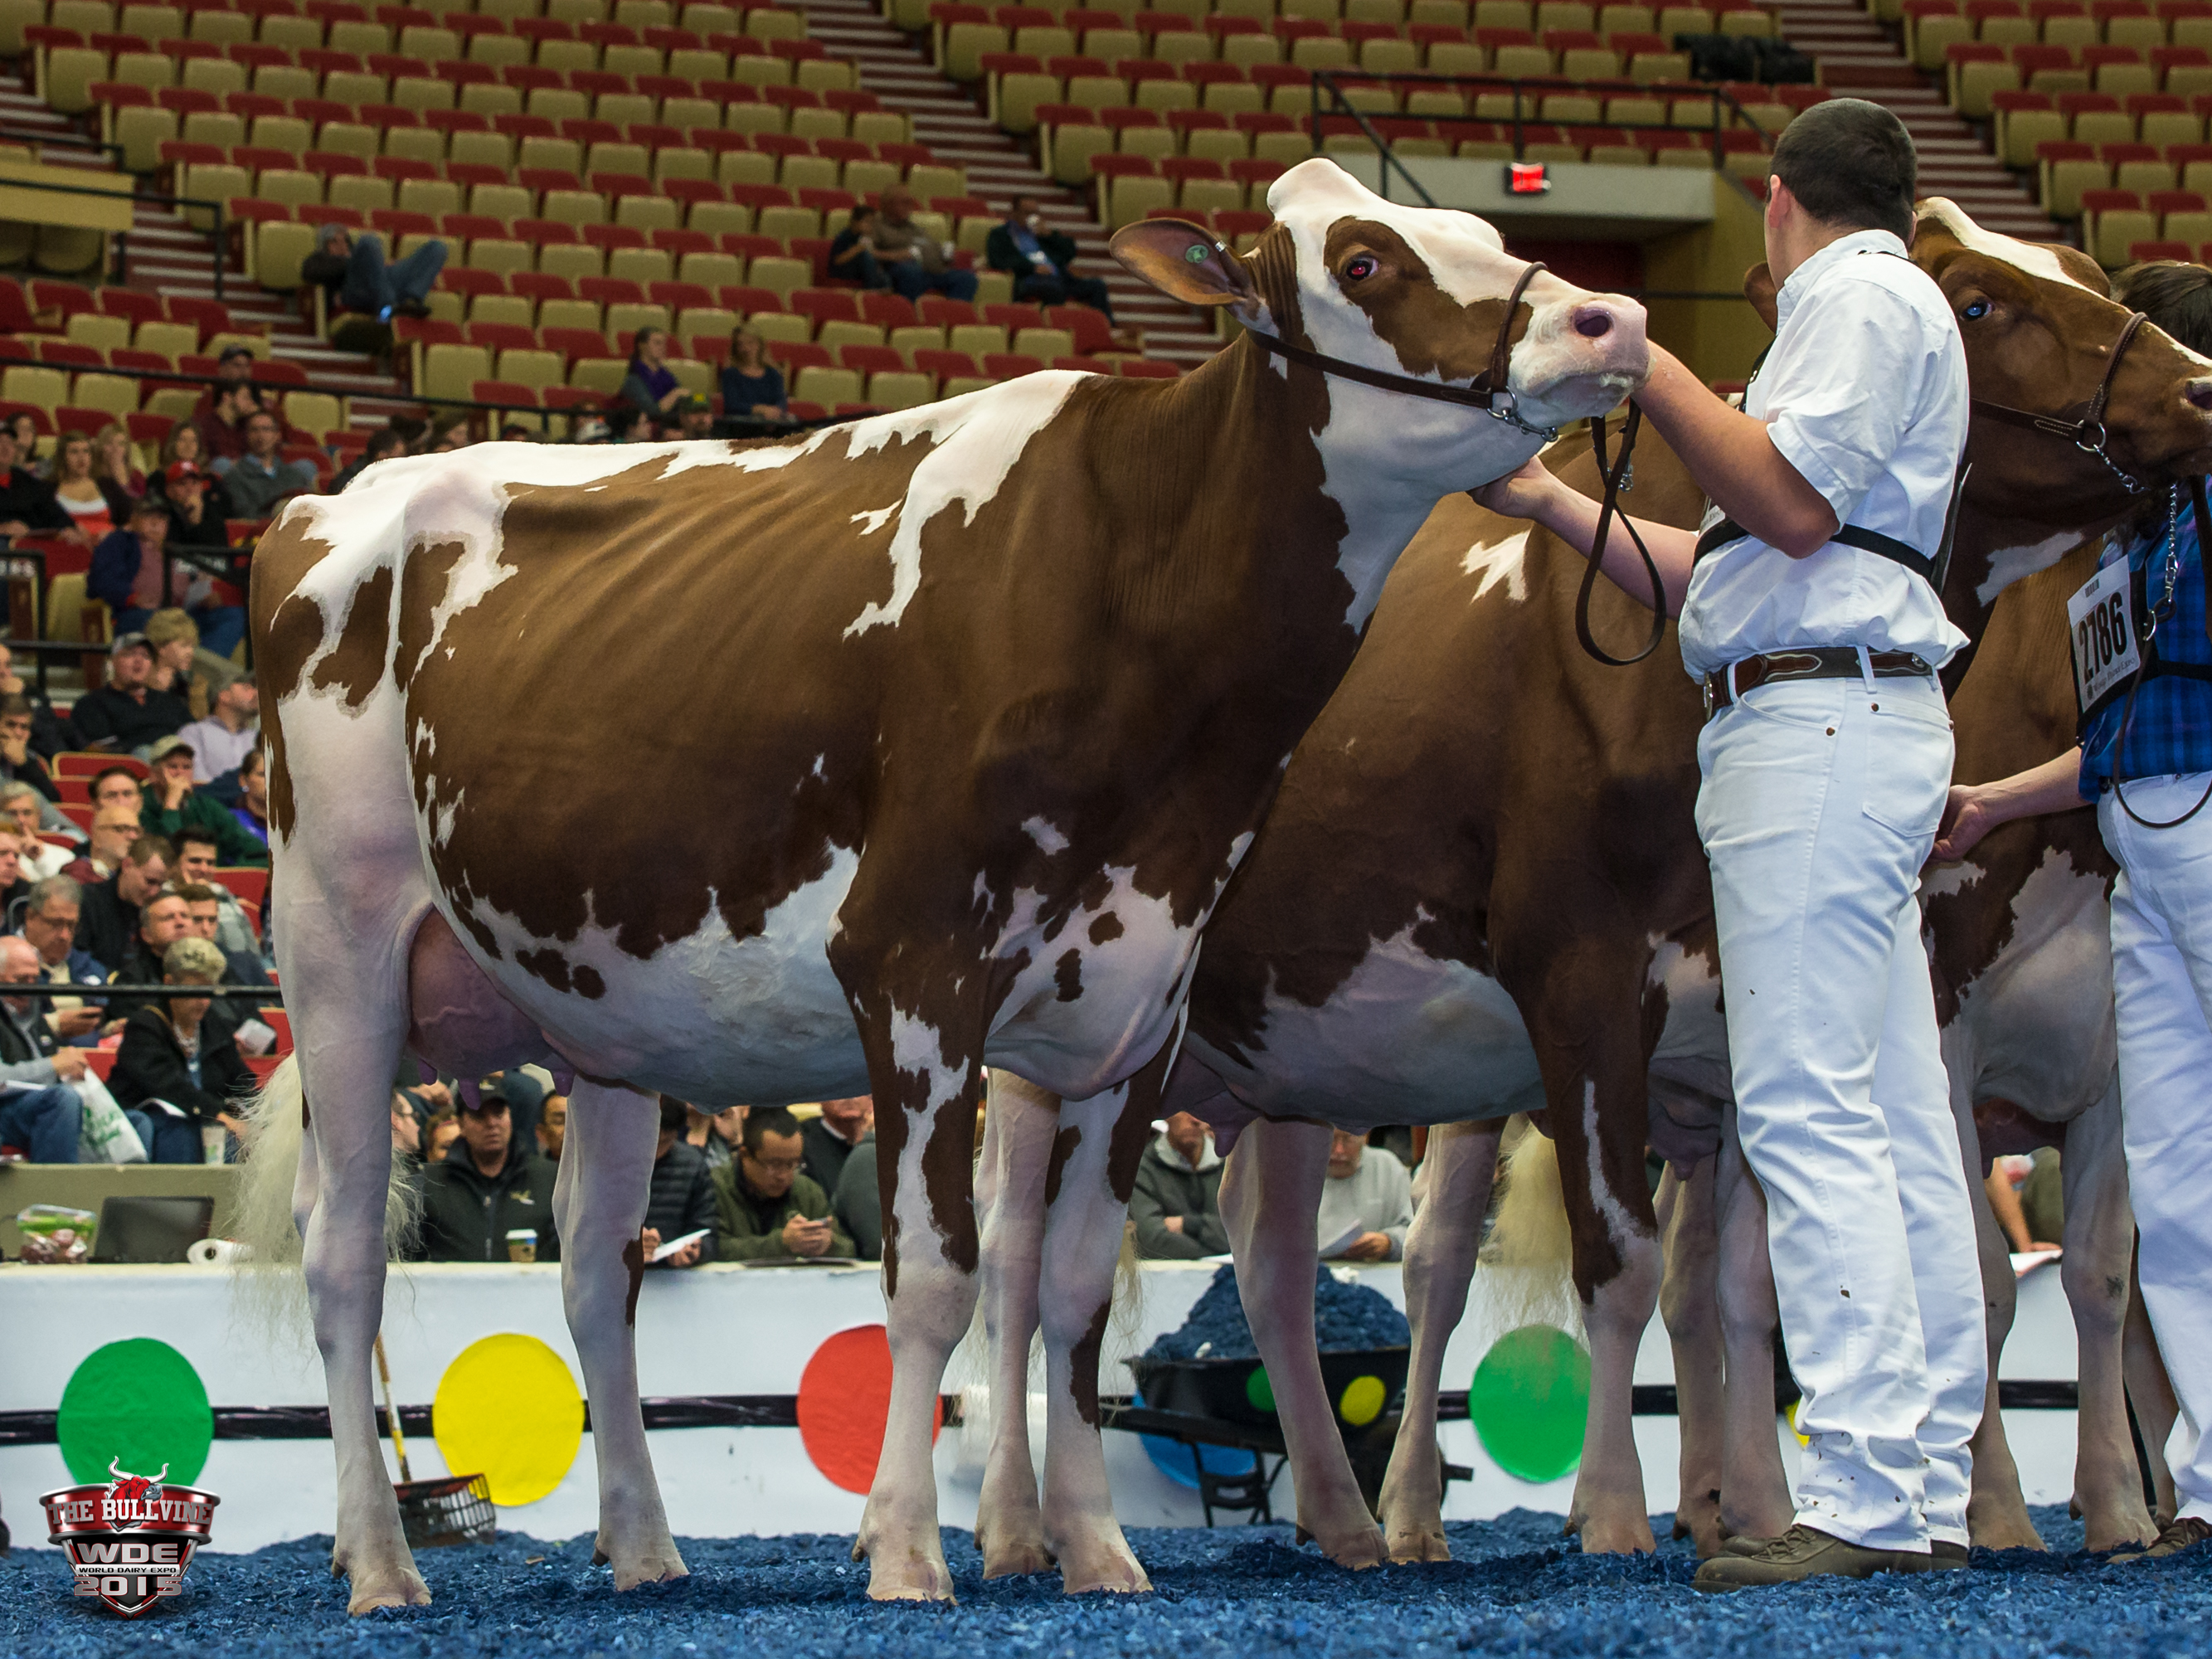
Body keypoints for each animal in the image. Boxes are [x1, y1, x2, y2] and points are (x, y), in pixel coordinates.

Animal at [243, 157, 1651, 1613]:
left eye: (1480, 227)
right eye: (1365, 260)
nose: (1612, 320)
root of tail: (331, 497)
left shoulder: (1138, 1000)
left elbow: (1075, 1289)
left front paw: (1096, 1551)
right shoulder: (913, 967)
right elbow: (934, 1277)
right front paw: (911, 1550)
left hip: (600, 1012)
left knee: (591, 1266)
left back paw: (641, 1547)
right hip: (337, 944)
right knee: (343, 1252)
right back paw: (378, 1563)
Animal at [965, 199, 2212, 1575]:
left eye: (2094, 276)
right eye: (1980, 303)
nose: (2196, 386)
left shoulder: (1760, 1015)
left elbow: (1764, 1284)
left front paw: (1768, 1511)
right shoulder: (1587, 972)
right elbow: (1624, 1265)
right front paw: (1619, 1510)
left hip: (1289, 1043)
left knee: (1271, 1255)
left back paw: (1346, 1520)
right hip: (1061, 1025)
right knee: (1025, 1260)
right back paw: (1025, 1526)